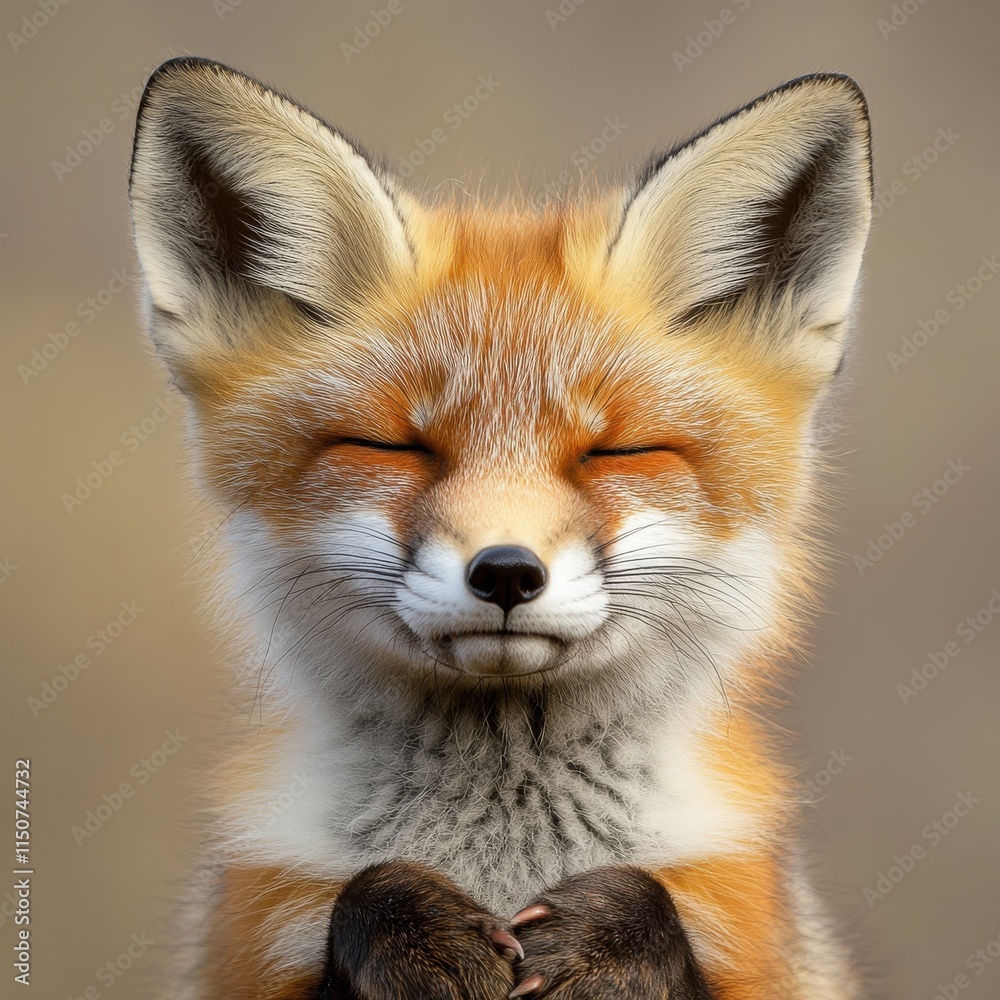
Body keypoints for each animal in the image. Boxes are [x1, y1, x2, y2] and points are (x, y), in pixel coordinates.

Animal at [128, 57, 874, 1000]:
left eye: (617, 452)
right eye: (392, 446)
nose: (508, 573)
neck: (502, 849)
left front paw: (607, 937)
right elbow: (368, 891)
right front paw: (419, 932)